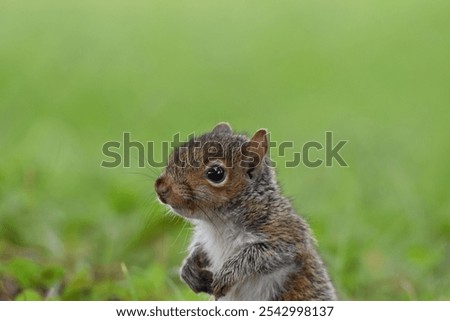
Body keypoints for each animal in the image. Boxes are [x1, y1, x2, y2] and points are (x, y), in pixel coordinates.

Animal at [156, 122, 336, 300]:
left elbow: (260, 255)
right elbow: (199, 248)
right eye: (174, 154)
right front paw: (189, 268)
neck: (218, 223)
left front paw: (226, 275)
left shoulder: (283, 231)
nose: (161, 187)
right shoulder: (206, 238)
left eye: (216, 173)